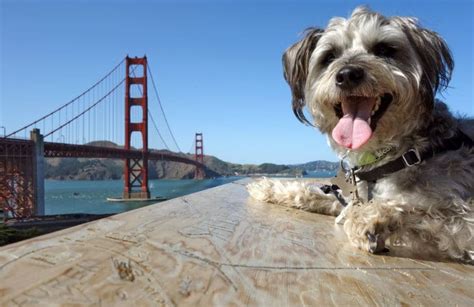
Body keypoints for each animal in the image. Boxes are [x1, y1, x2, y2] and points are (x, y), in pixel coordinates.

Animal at [248, 6, 474, 264]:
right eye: (329, 56)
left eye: (384, 50)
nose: (347, 74)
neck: (402, 152)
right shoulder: (349, 197)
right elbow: (314, 191)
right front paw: (267, 186)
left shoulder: (461, 213)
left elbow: (420, 209)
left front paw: (369, 219)